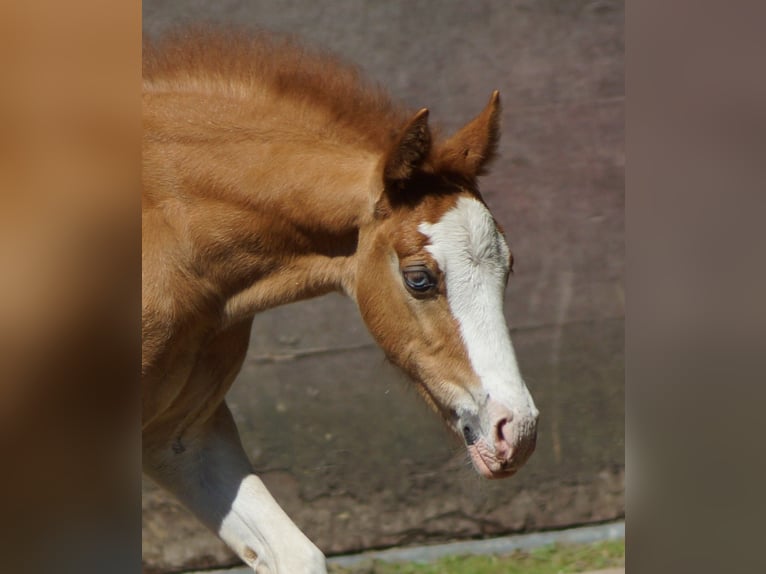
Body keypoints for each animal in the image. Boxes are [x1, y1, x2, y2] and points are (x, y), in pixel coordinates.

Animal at [142, 28, 539, 574]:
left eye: (509, 267)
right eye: (419, 279)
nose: (516, 431)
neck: (164, 234)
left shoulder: (180, 435)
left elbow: (297, 554)